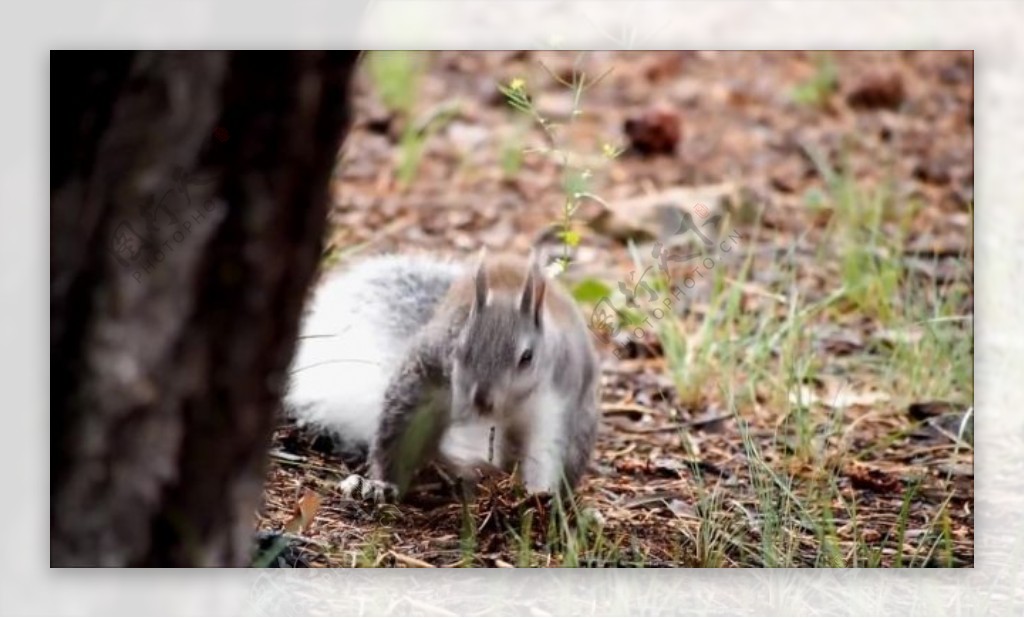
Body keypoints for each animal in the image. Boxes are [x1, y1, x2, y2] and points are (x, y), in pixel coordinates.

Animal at [282, 248, 598, 505]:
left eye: (527, 357)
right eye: (461, 347)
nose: (482, 400)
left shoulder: (556, 398)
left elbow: (545, 452)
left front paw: (537, 498)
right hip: (417, 390)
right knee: (397, 438)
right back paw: (380, 485)